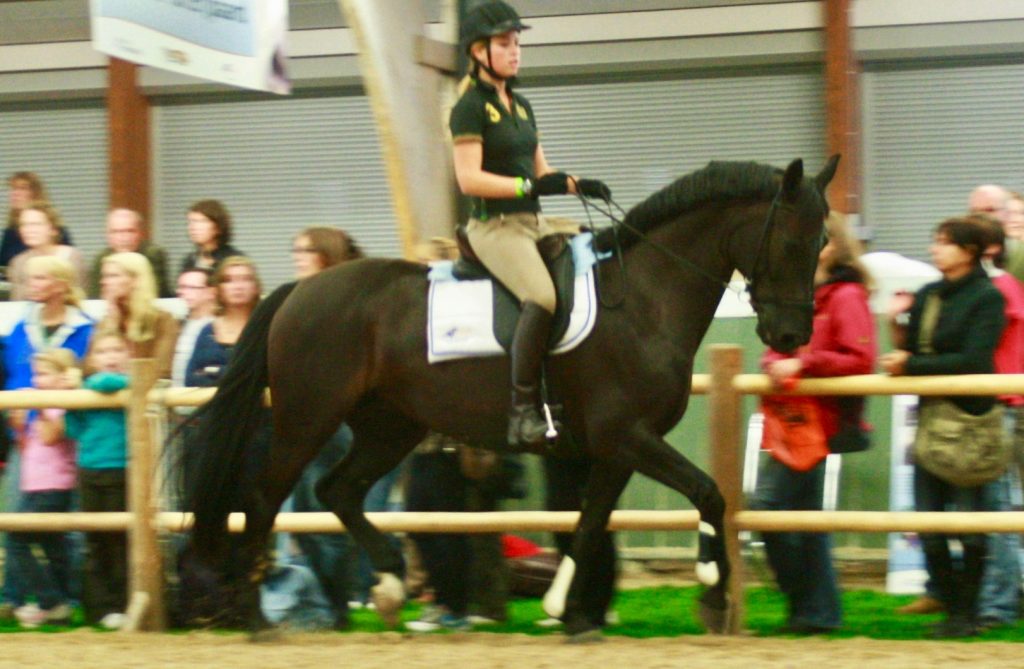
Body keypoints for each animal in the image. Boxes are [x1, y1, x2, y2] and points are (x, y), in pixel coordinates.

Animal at [180, 155, 839, 635]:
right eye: (792, 242)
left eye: (821, 244)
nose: (790, 336)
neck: (645, 299)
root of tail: (300, 289)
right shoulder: (628, 435)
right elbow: (707, 492)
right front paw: (711, 587)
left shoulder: (618, 447)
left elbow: (590, 521)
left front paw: (566, 612)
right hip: (307, 418)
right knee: (264, 499)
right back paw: (256, 619)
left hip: (390, 425)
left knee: (337, 490)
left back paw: (388, 584)